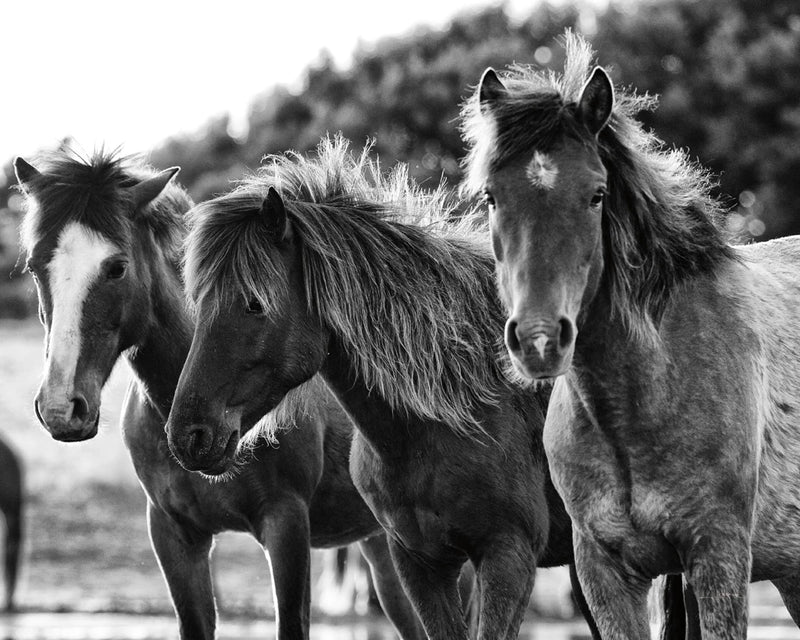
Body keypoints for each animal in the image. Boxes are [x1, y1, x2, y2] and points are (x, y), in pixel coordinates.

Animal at [13, 151, 424, 640]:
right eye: (35, 266)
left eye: (116, 267)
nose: (61, 408)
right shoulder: (174, 535)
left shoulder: (286, 526)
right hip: (384, 550)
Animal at [164, 136, 686, 640]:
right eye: (198, 301)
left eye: (254, 303)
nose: (189, 435)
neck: (441, 416)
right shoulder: (421, 563)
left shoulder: (507, 556)